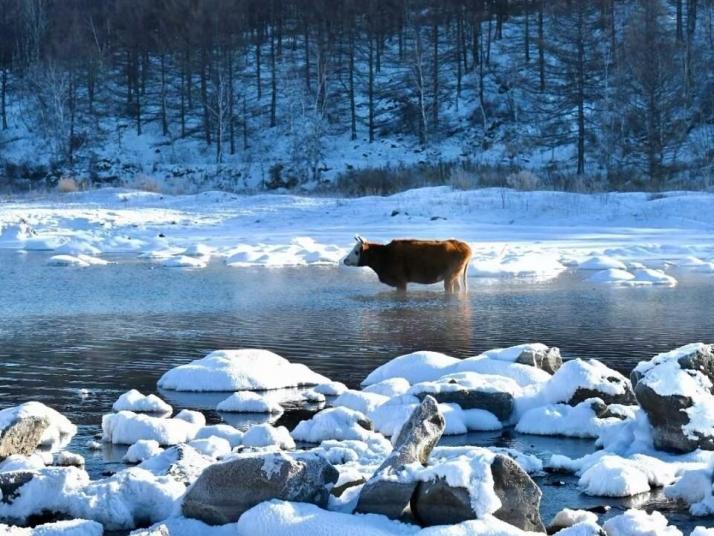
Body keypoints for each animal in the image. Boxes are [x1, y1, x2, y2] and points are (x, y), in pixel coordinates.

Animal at [342, 236, 470, 294]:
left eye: (356, 251)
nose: (345, 260)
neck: (384, 256)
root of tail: (463, 245)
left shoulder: (401, 281)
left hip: (450, 276)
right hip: (456, 275)